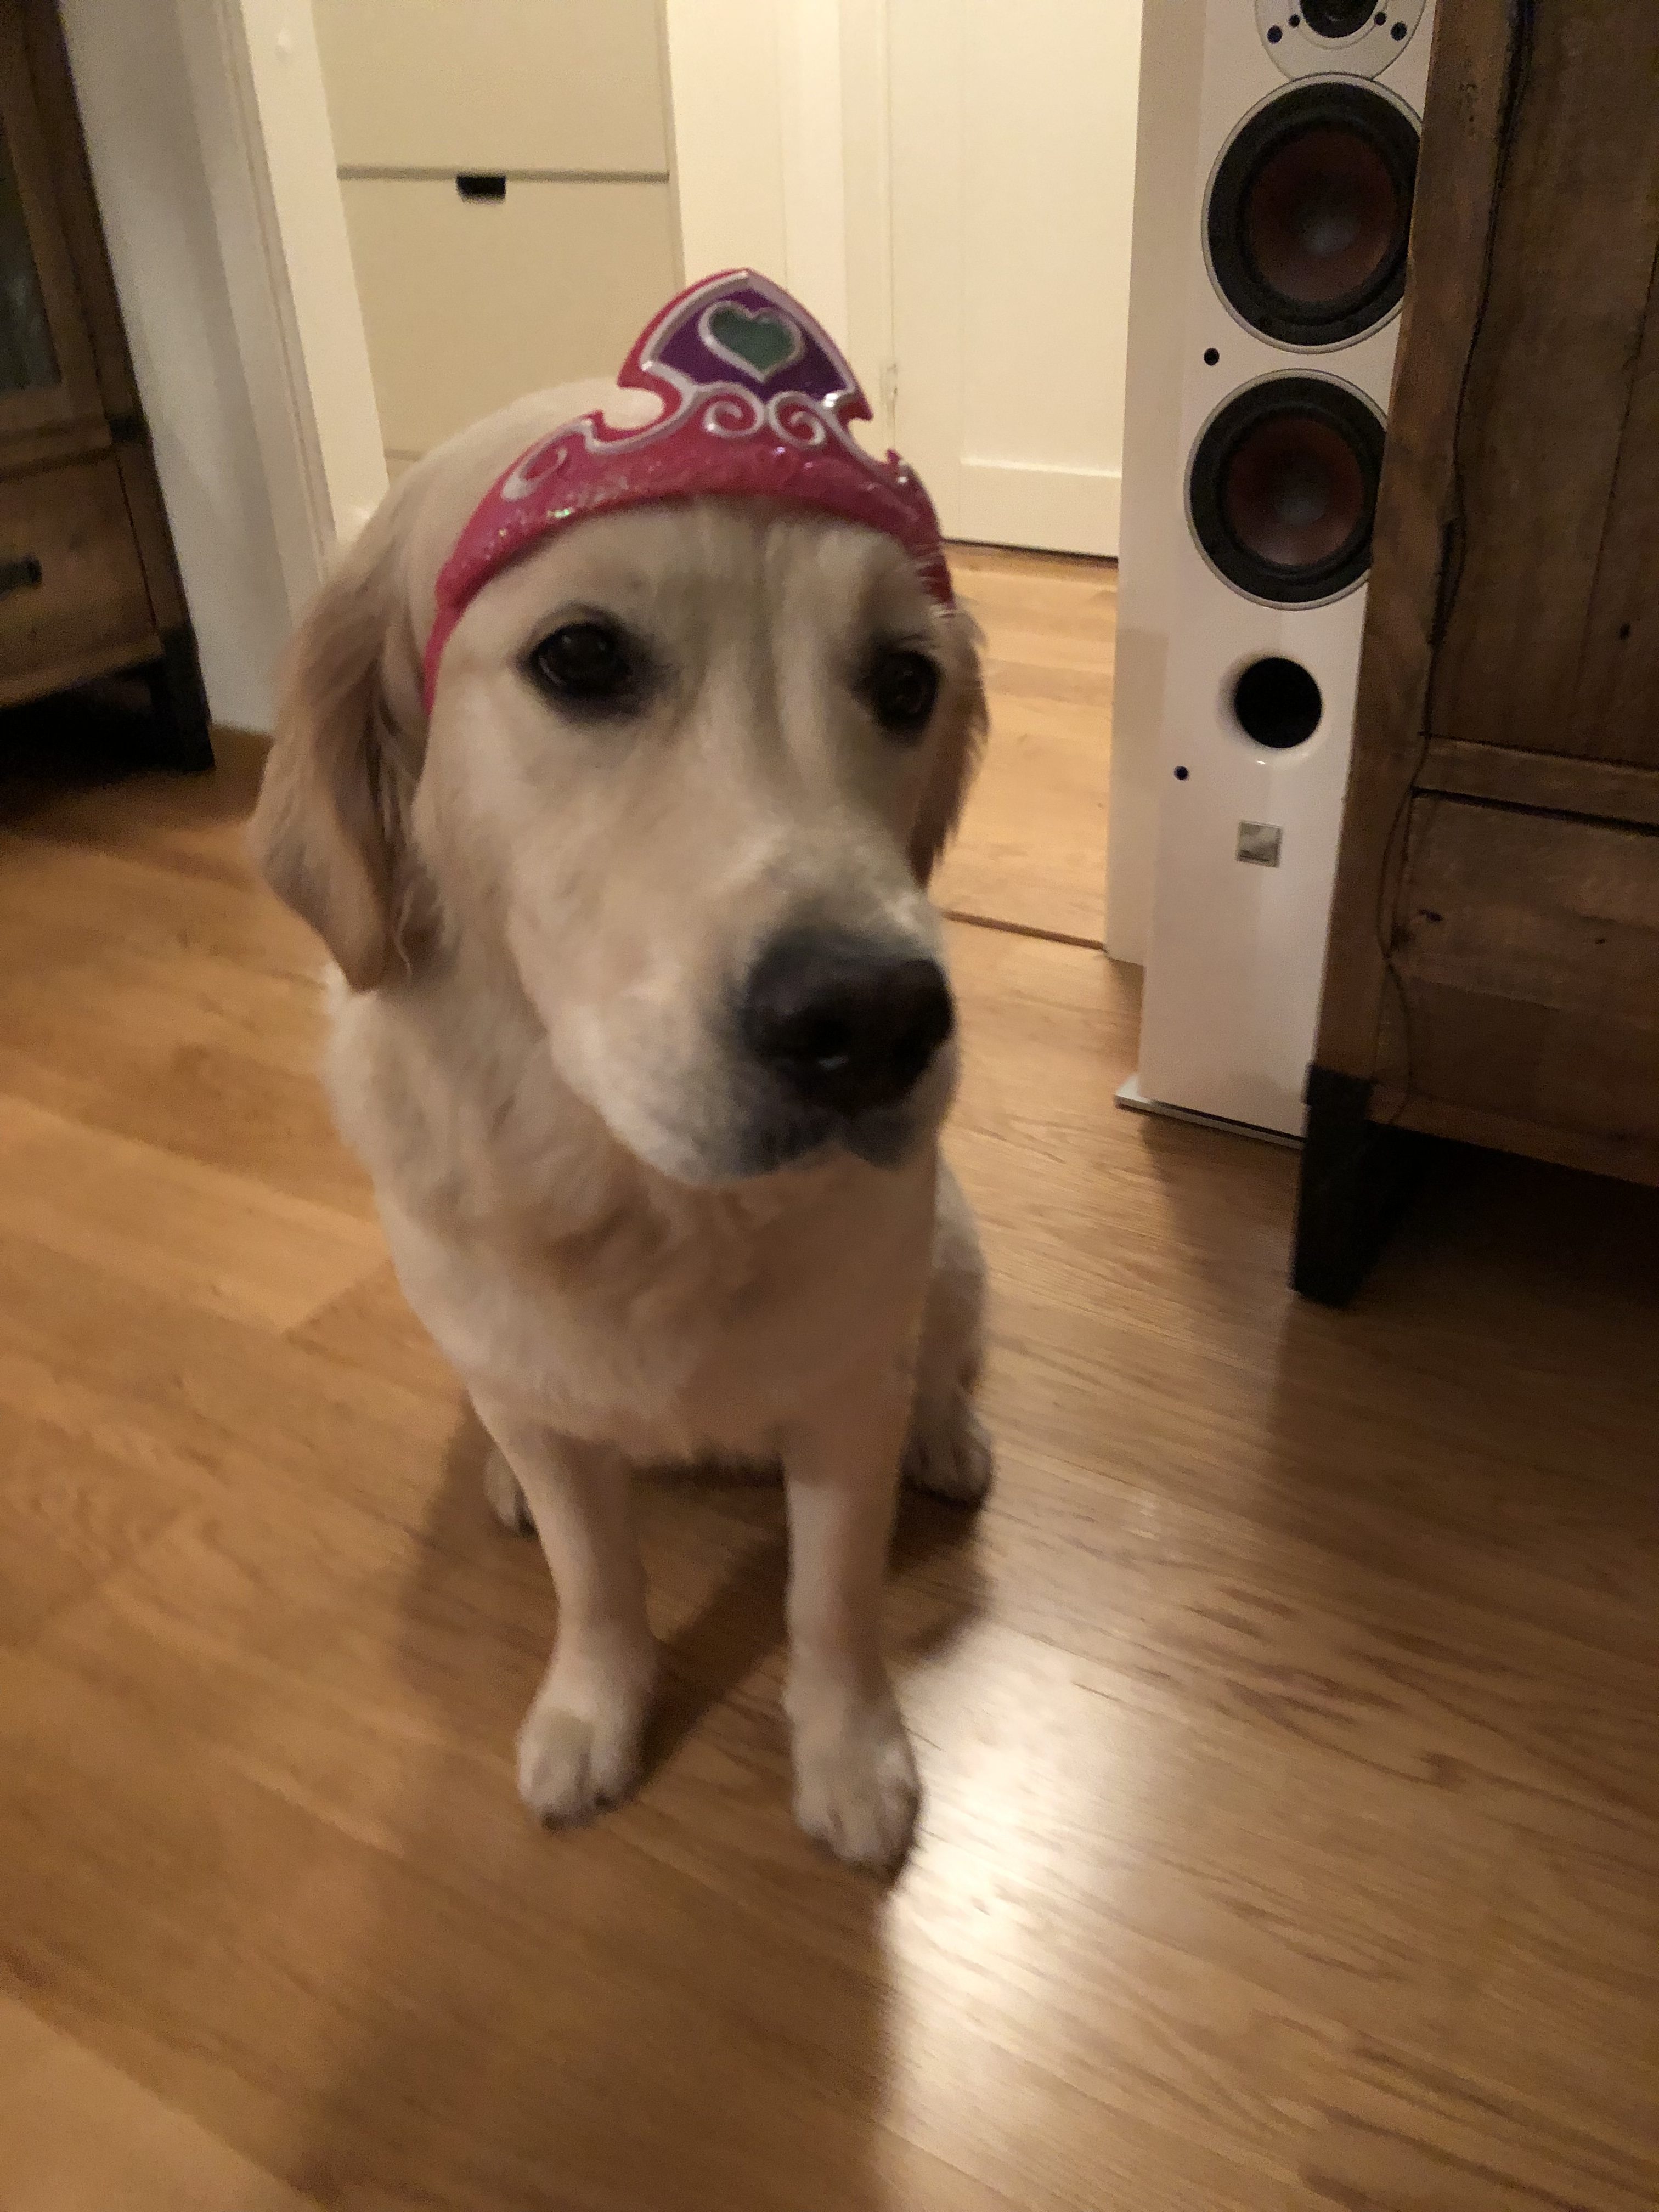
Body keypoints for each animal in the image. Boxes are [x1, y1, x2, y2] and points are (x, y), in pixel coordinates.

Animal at [250, 276, 991, 1868]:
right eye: (581, 659)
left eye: (904, 681)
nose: (878, 1021)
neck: (647, 1204)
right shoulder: (540, 1398)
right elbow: (598, 1582)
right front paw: (592, 1713)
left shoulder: (844, 1395)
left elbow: (832, 1601)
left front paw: (851, 1755)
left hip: (951, 1249)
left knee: (949, 1352)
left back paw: (951, 1436)